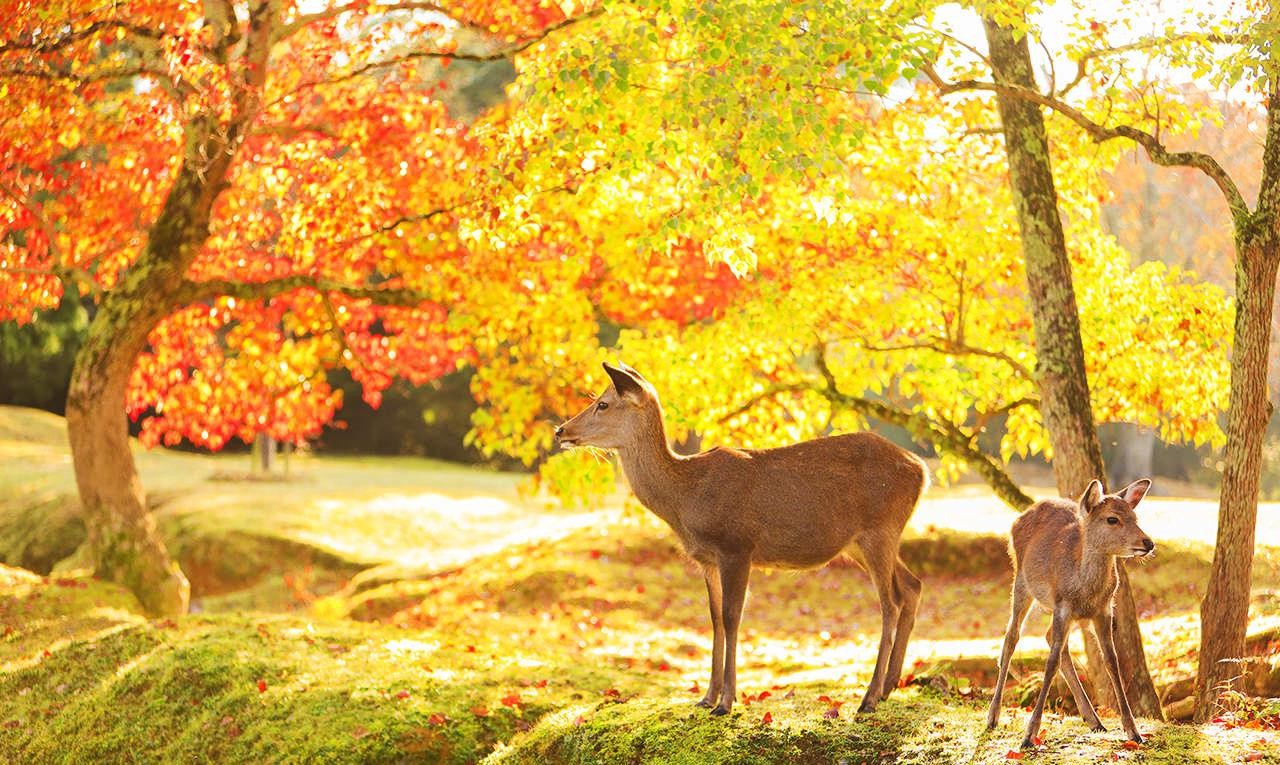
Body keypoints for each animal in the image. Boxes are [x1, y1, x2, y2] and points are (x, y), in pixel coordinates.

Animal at [555, 363, 926, 716]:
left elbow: (733, 616)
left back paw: (869, 697)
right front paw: (706, 697)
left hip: (880, 529)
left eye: (603, 403)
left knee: (889, 602)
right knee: (912, 585)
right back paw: (890, 686)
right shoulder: (706, 558)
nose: (561, 431)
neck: (685, 498)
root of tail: (921, 470)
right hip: (862, 542)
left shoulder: (736, 545)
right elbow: (714, 617)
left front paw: (726, 701)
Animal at [983, 481, 1157, 747]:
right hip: (1021, 581)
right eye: (1112, 519)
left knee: (1049, 638)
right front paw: (1029, 735)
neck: (1084, 589)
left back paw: (1094, 720)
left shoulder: (1103, 610)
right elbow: (1050, 663)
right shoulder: (1063, 605)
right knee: (1011, 638)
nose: (1148, 543)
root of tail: (1019, 517)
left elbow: (1112, 661)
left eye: (1135, 516)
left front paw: (1134, 732)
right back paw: (993, 716)